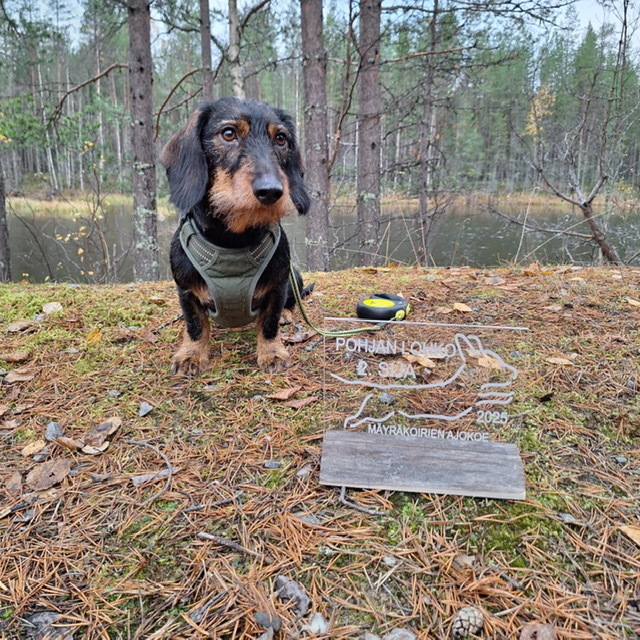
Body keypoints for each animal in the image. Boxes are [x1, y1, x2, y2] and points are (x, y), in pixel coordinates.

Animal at [161, 97, 311, 376]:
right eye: (228, 133)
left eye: (281, 139)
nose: (271, 191)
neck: (232, 241)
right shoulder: (185, 289)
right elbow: (195, 325)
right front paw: (192, 354)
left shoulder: (278, 285)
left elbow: (269, 321)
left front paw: (271, 352)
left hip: (294, 274)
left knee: (288, 303)